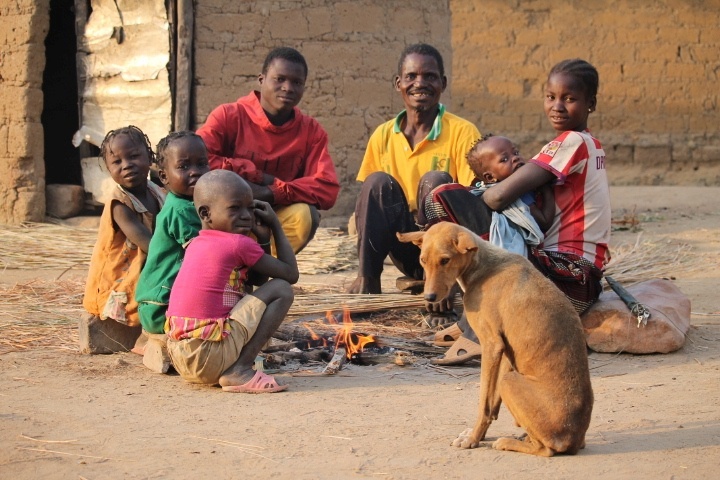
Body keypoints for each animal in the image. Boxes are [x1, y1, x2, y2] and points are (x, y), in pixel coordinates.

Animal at [396, 223, 592, 456]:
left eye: (445, 260)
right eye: (423, 260)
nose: (429, 298)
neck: (482, 267)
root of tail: (574, 439)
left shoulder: (491, 345)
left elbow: (483, 402)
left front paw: (473, 438)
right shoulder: (505, 350)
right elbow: (492, 404)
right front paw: (479, 434)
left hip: (511, 382)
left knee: (545, 449)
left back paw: (510, 442)